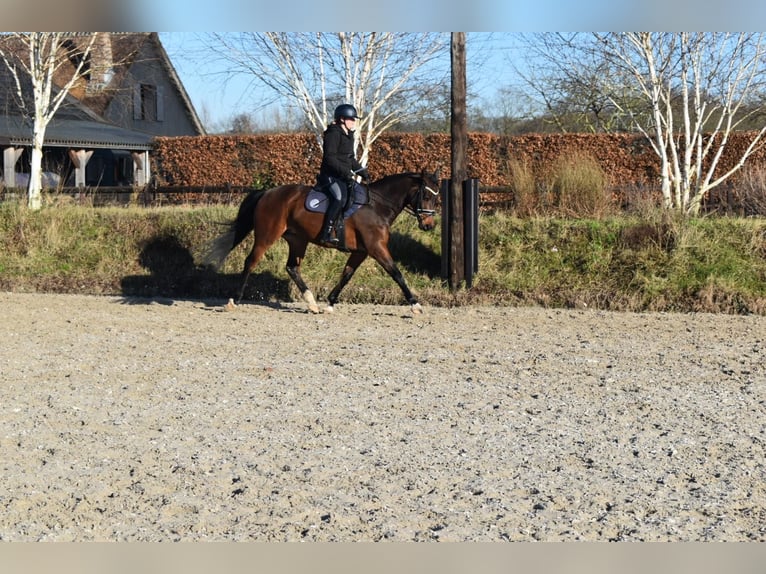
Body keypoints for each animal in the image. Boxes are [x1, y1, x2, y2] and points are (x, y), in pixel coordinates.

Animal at [201, 169, 440, 318]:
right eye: (426, 197)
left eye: (437, 198)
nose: (429, 226)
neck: (376, 206)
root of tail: (267, 192)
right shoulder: (376, 248)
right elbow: (396, 273)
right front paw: (415, 305)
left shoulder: (361, 252)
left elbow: (346, 276)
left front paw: (330, 303)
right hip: (267, 235)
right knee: (250, 261)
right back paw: (234, 300)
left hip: (298, 239)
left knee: (292, 267)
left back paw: (312, 303)